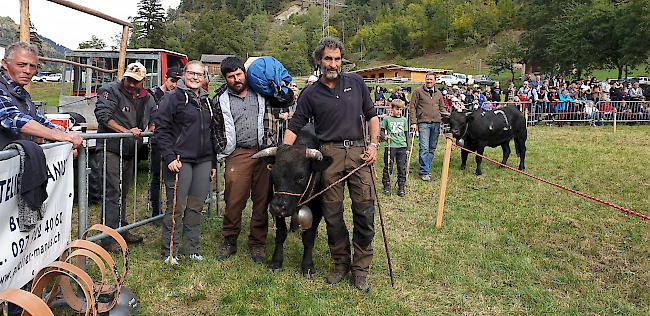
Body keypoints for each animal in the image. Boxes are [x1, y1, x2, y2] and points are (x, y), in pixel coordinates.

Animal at [251, 123, 332, 276]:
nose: (278, 207)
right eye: (273, 172)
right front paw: (276, 262)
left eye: (300, 177)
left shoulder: (318, 208)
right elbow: (281, 234)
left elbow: (308, 237)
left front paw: (307, 266)